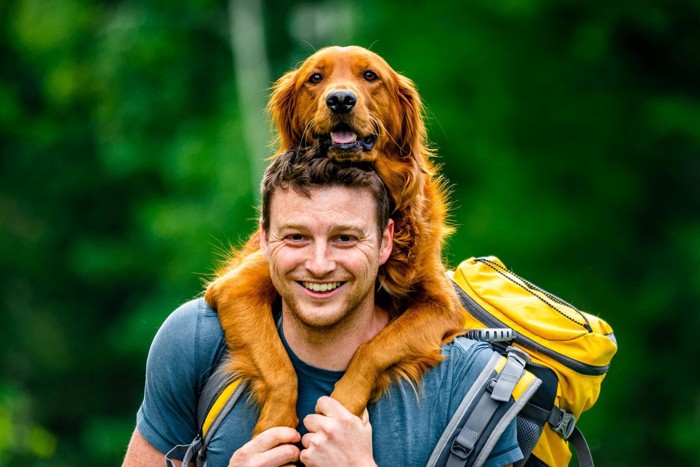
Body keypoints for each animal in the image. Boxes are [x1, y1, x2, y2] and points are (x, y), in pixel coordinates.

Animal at [204, 44, 464, 436]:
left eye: (370, 75)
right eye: (315, 78)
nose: (340, 99)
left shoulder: (441, 305)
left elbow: (373, 349)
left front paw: (341, 408)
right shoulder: (234, 287)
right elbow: (280, 368)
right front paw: (273, 425)